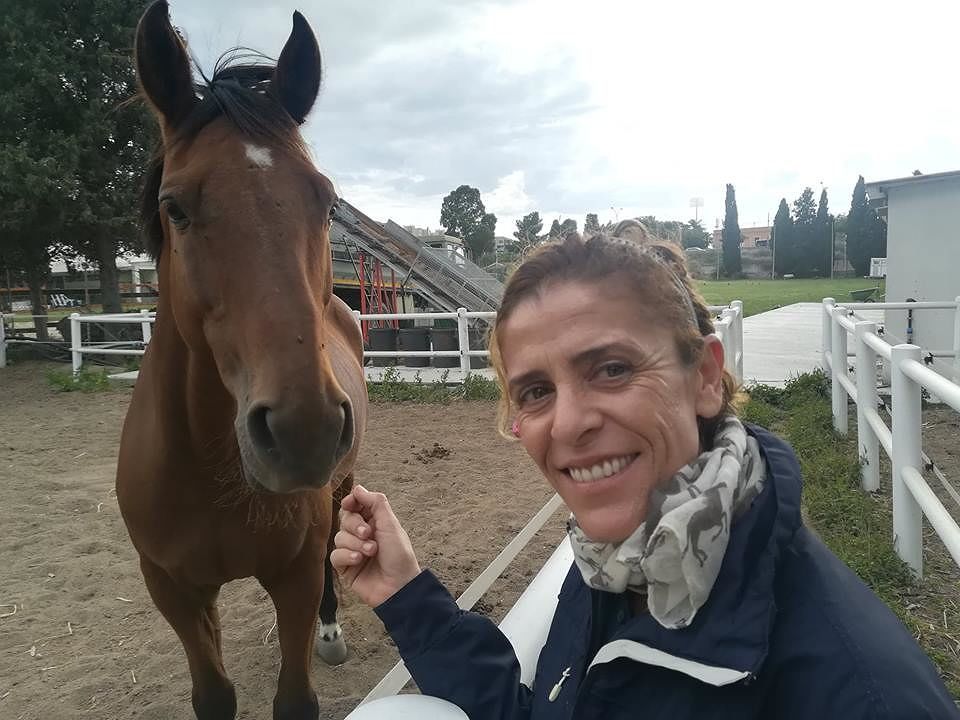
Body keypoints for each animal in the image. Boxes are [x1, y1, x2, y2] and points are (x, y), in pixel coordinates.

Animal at [116, 3, 367, 719]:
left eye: (326, 202)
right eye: (174, 207)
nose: (304, 429)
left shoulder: (295, 571)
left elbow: (295, 697)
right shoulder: (171, 588)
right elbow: (214, 695)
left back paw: (331, 631)